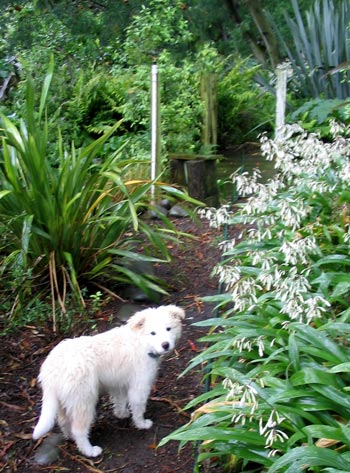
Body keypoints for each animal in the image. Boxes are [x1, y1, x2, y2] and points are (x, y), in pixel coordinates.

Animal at [33, 304, 186, 456]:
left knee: (63, 421)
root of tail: (50, 371)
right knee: (79, 430)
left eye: (168, 329)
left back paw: (70, 437)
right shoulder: (140, 385)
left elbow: (120, 401)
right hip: (83, 399)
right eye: (153, 333)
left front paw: (122, 414)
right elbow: (138, 407)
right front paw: (142, 424)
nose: (165, 345)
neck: (141, 342)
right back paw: (90, 451)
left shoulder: (118, 383)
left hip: (63, 400)